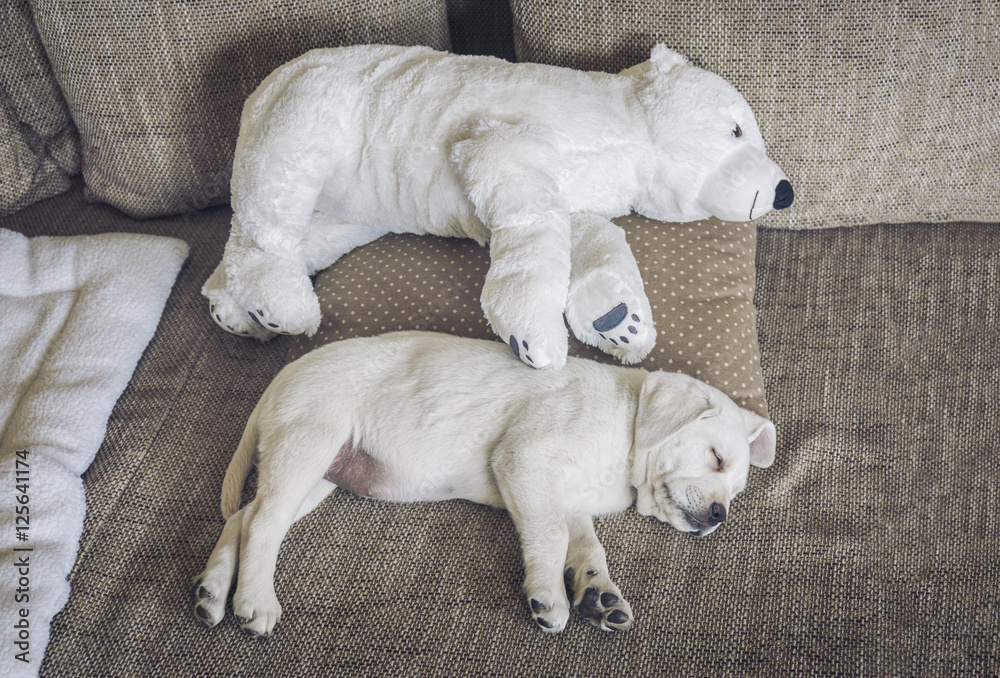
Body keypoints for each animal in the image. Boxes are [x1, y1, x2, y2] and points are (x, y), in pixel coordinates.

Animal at [193, 334, 772, 636]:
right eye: (716, 458)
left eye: (736, 492)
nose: (720, 516)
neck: (627, 428)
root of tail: (283, 375)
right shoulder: (526, 460)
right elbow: (549, 537)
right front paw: (548, 597)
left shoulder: (570, 499)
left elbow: (587, 547)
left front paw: (597, 592)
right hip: (308, 444)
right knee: (263, 524)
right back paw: (255, 600)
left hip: (316, 473)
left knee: (244, 517)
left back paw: (214, 590)